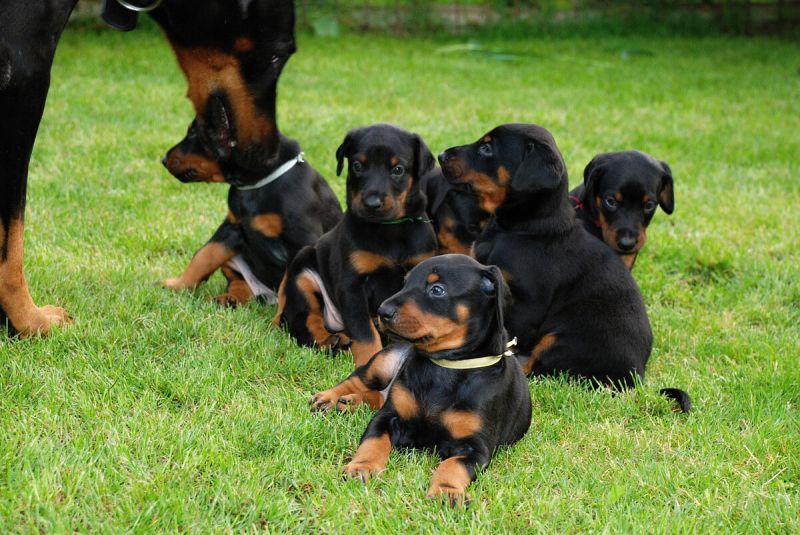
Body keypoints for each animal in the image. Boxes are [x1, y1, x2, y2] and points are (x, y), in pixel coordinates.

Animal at [162, 120, 341, 305]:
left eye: (193, 133)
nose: (163, 160)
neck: (257, 185)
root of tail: (269, 297)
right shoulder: (232, 227)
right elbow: (204, 254)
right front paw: (176, 285)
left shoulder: (300, 238)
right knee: (241, 284)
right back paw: (229, 299)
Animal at [273, 124, 438, 366]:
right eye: (357, 166)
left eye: (398, 170)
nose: (371, 203)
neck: (389, 229)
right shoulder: (351, 286)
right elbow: (364, 332)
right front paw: (369, 361)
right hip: (302, 273)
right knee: (304, 321)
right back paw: (330, 341)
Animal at [311, 255, 531, 505]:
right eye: (405, 283)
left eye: (437, 289)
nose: (382, 311)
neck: (444, 367)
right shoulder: (388, 416)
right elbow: (373, 441)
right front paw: (361, 467)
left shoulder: (477, 446)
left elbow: (454, 465)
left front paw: (446, 491)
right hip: (384, 361)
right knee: (359, 381)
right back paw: (330, 399)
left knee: (378, 395)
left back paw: (351, 403)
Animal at [439, 124, 690, 412]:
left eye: (487, 147)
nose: (442, 155)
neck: (521, 228)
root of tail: (635, 376)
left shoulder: (528, 303)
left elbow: (511, 336)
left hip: (561, 339)